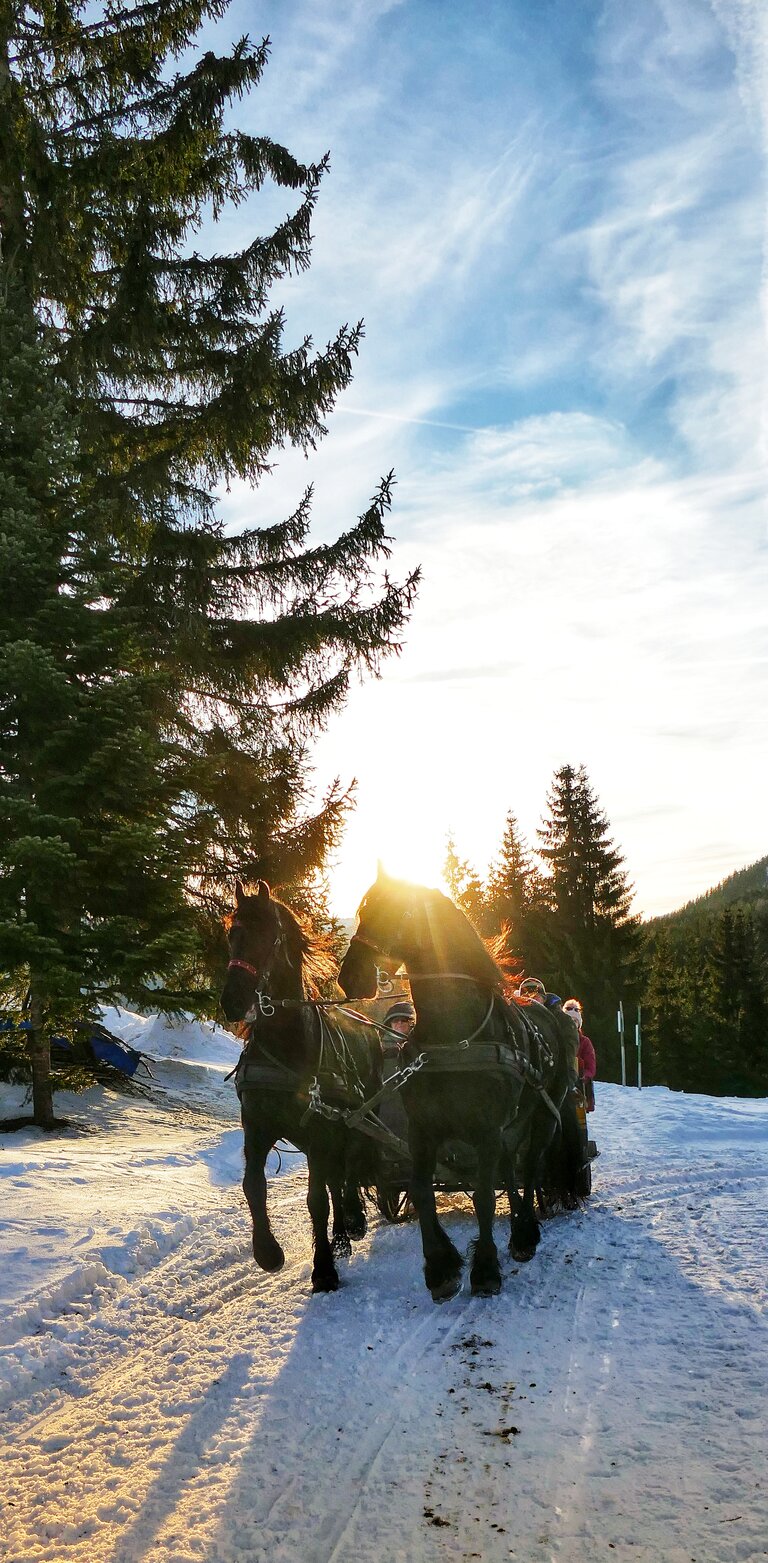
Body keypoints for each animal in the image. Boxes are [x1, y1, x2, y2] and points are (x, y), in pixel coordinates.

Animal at [220, 881, 380, 1294]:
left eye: (268, 936)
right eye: (232, 935)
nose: (232, 1001)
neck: (286, 1045)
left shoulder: (320, 1131)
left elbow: (316, 1200)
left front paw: (323, 1269)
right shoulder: (257, 1127)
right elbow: (253, 1186)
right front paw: (267, 1251)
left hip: (354, 1120)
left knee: (348, 1169)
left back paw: (351, 1221)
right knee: (338, 1177)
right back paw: (341, 1235)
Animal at [337, 875, 581, 1300]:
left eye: (398, 911)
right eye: (363, 911)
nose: (349, 976)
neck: (453, 1034)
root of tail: (549, 1013)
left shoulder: (484, 1131)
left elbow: (483, 1196)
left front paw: (484, 1270)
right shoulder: (423, 1130)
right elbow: (421, 1190)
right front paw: (441, 1267)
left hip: (543, 1116)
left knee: (532, 1167)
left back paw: (525, 1235)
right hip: (509, 1126)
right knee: (510, 1169)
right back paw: (516, 1227)